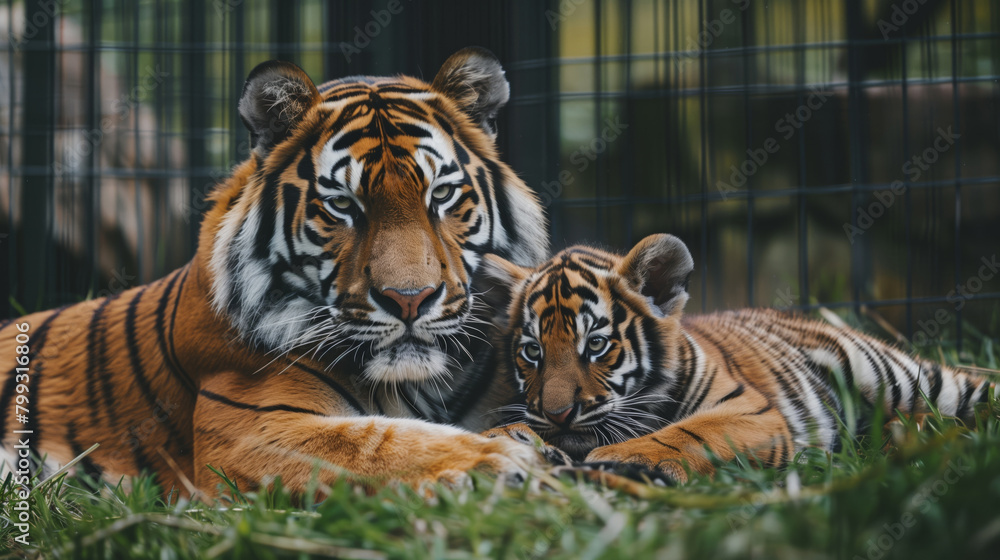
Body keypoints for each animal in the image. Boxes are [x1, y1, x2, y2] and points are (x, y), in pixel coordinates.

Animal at [0, 47, 552, 497]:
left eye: (441, 195)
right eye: (342, 205)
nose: (410, 300)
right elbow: (378, 444)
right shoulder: (253, 430)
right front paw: (499, 460)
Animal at [480, 234, 995, 482]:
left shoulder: (752, 410)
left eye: (596, 345)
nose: (557, 414)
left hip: (896, 375)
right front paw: (513, 440)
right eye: (532, 352)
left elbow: (686, 434)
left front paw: (615, 459)